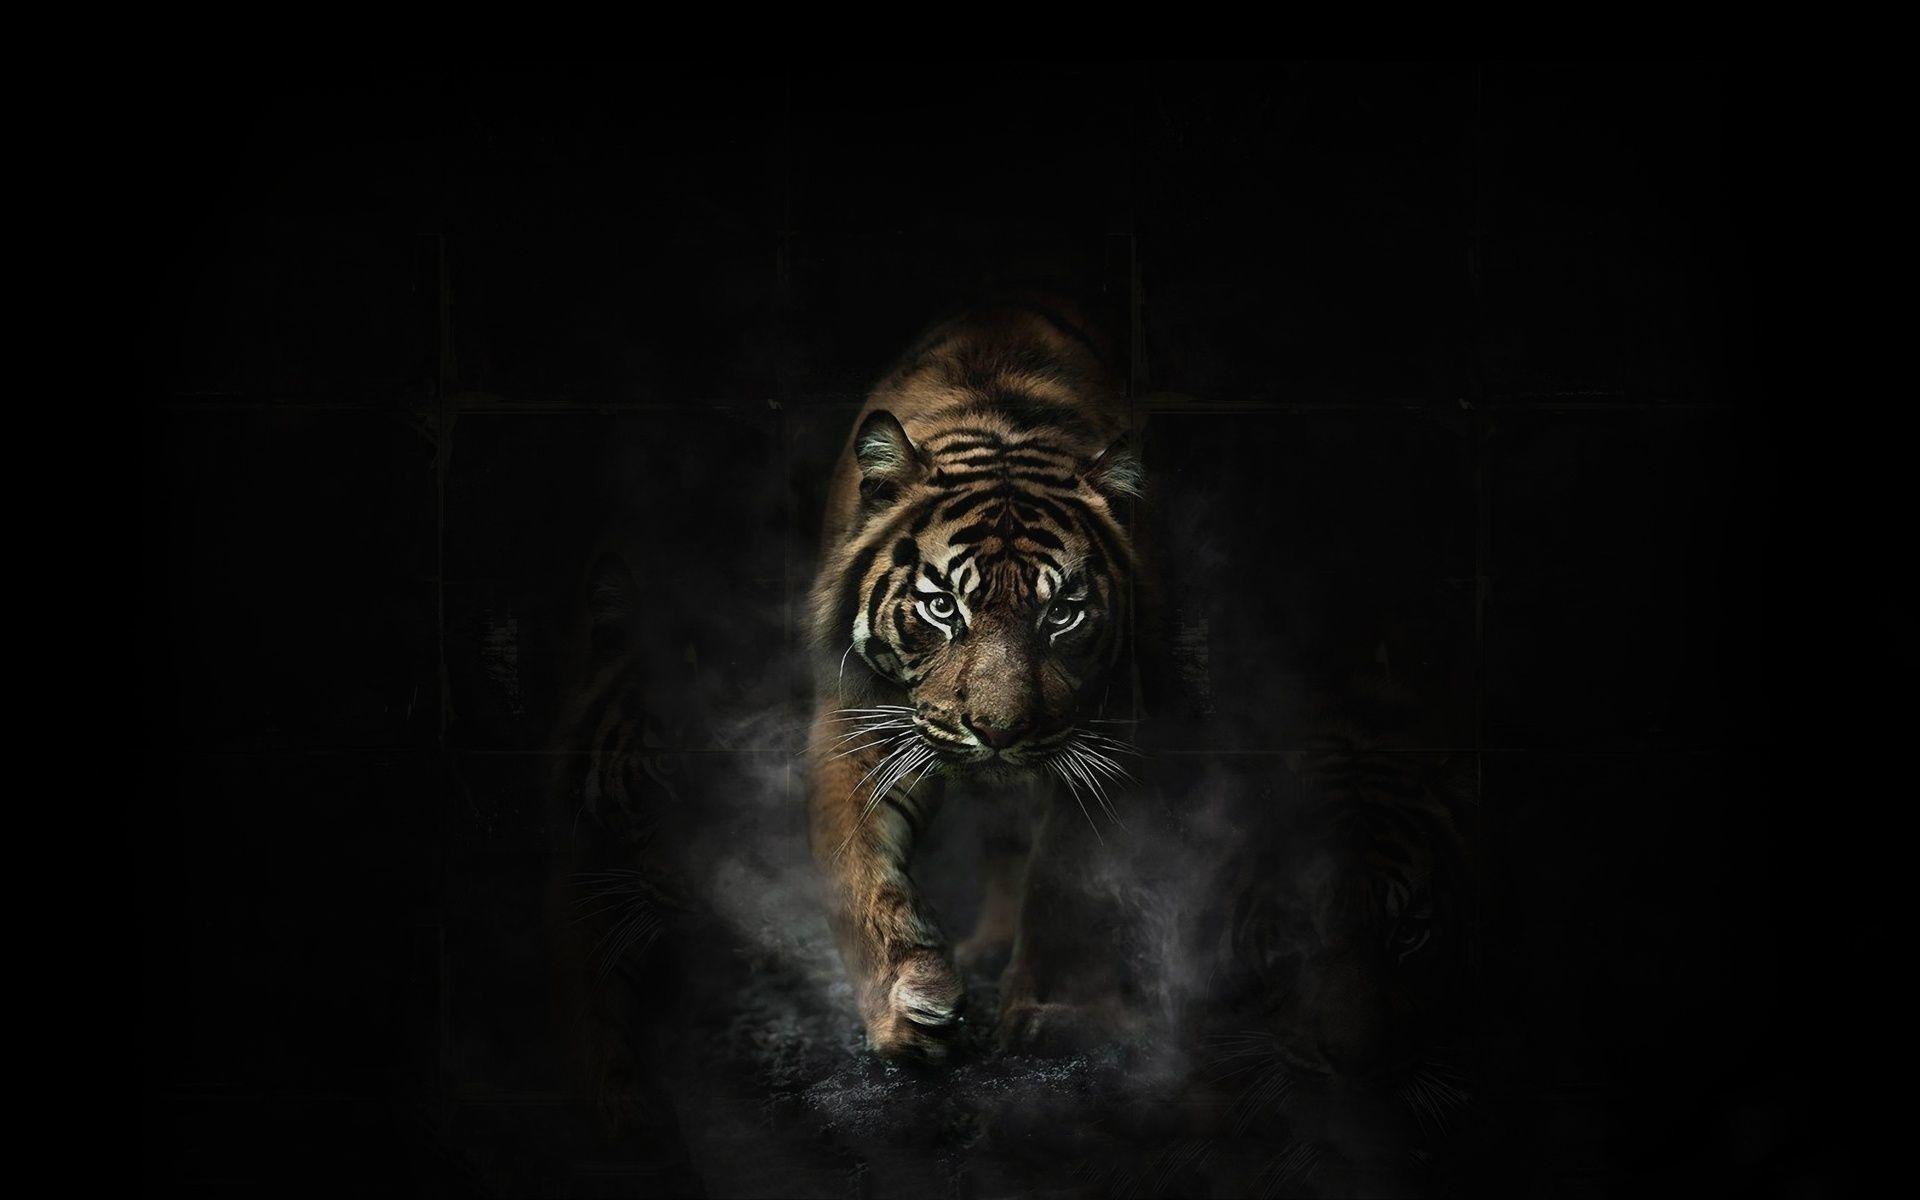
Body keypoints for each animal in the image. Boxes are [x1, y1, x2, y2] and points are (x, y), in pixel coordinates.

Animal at [804, 298, 1148, 1062]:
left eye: (1062, 613)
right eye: (942, 607)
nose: (997, 730)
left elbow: (1065, 879)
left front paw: (1051, 1012)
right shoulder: (857, 716)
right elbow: (858, 871)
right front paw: (908, 1006)